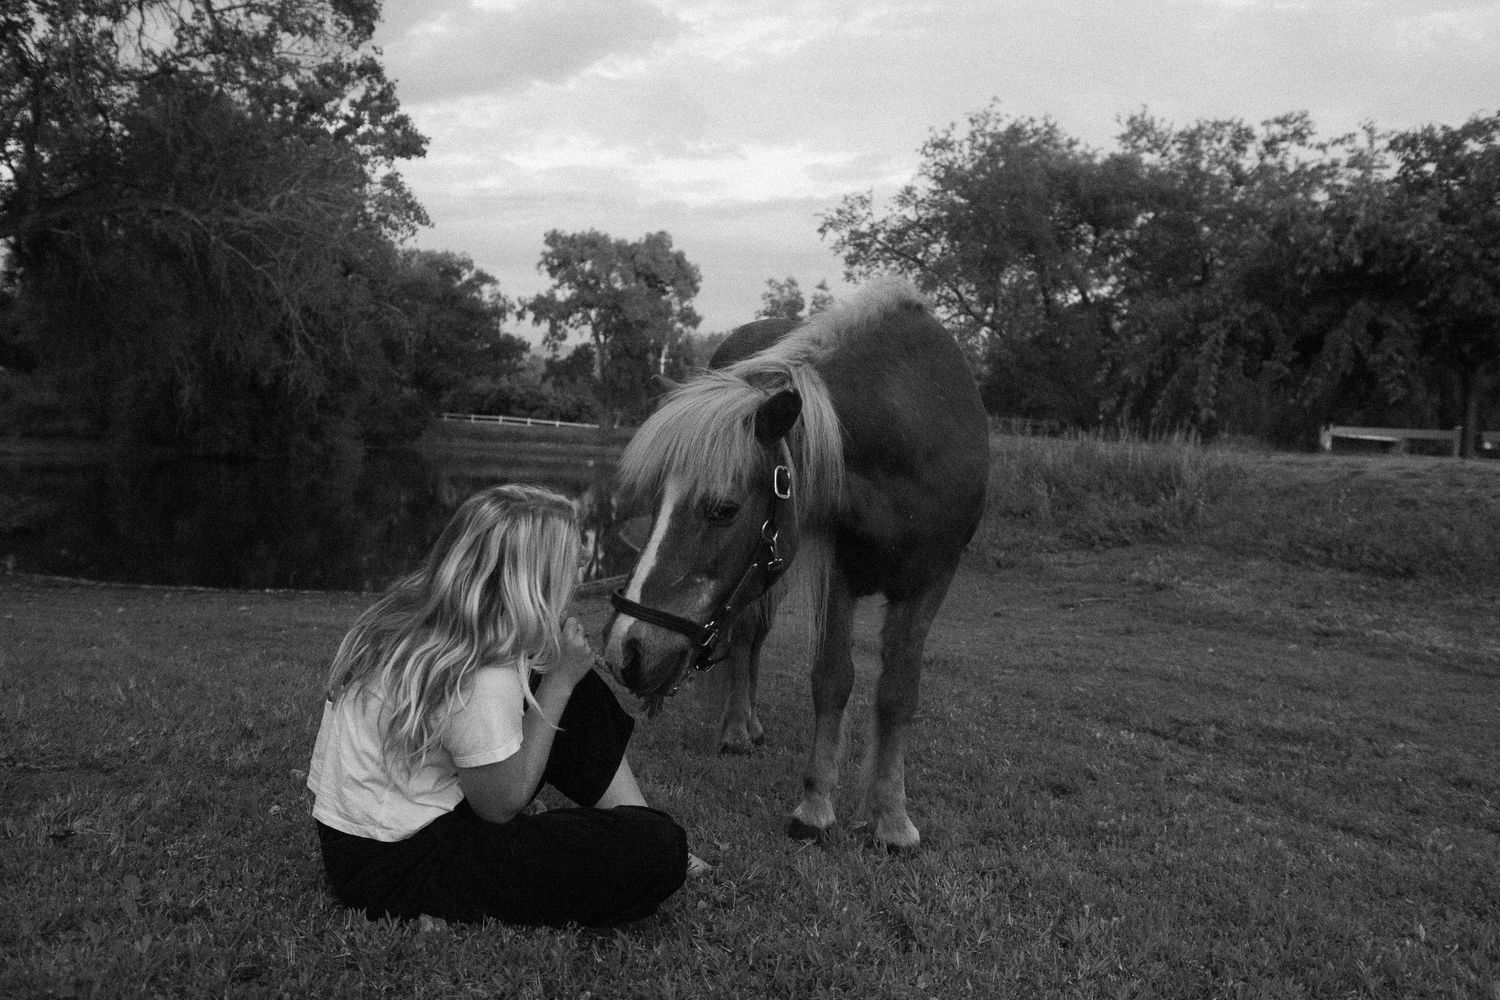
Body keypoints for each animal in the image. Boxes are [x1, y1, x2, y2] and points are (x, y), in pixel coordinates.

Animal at [601, 278, 989, 849]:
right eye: (655, 501)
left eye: (724, 509)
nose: (626, 649)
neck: (915, 428)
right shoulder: (838, 575)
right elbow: (832, 679)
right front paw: (815, 808)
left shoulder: (931, 581)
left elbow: (898, 693)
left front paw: (892, 820)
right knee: (744, 638)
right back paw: (738, 729)